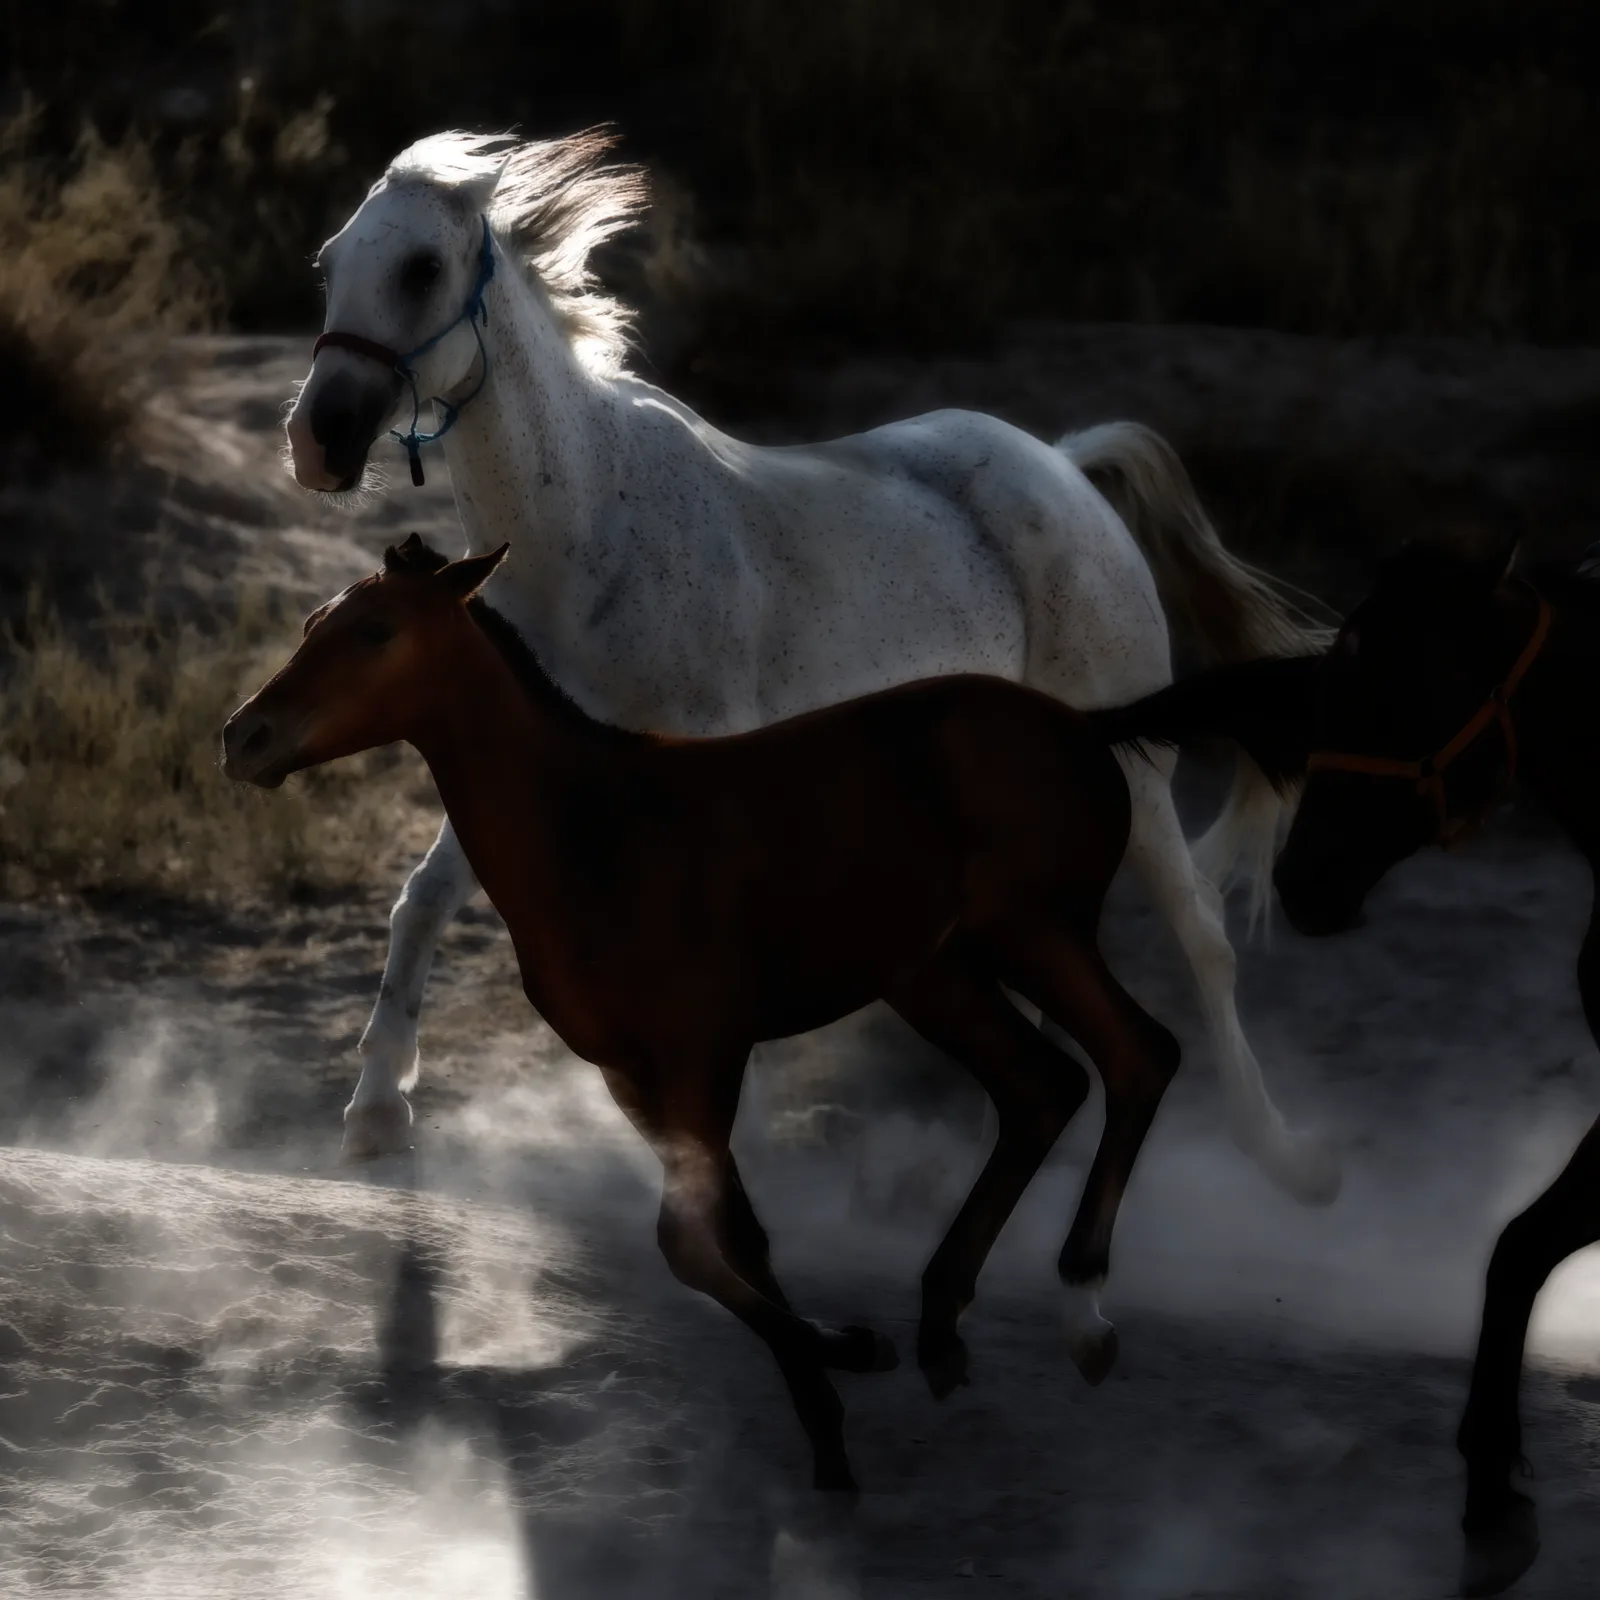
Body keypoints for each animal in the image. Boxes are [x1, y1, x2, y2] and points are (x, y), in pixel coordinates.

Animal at [223, 533, 1185, 1491]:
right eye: (312, 623)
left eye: (376, 631)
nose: (242, 736)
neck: (592, 829)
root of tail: (1084, 728)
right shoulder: (629, 1071)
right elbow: (739, 1237)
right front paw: (828, 1425)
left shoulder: (704, 1050)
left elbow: (687, 1241)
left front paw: (853, 1350)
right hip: (935, 973)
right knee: (1043, 1087)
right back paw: (942, 1328)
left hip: (1036, 932)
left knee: (1138, 1055)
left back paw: (1081, 1315)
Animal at [283, 128, 1337, 1215]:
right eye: (330, 264)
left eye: (421, 268)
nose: (316, 441)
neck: (579, 541)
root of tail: (1064, 464)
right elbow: (422, 901)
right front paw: (374, 1116)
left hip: (1135, 767)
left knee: (1202, 933)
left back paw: (1286, 1157)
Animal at [1091, 538, 1592, 1597]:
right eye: (1328, 695)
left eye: (1406, 693)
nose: (1302, 879)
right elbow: (1518, 1248)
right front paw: (1491, 1501)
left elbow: (1522, 1247)